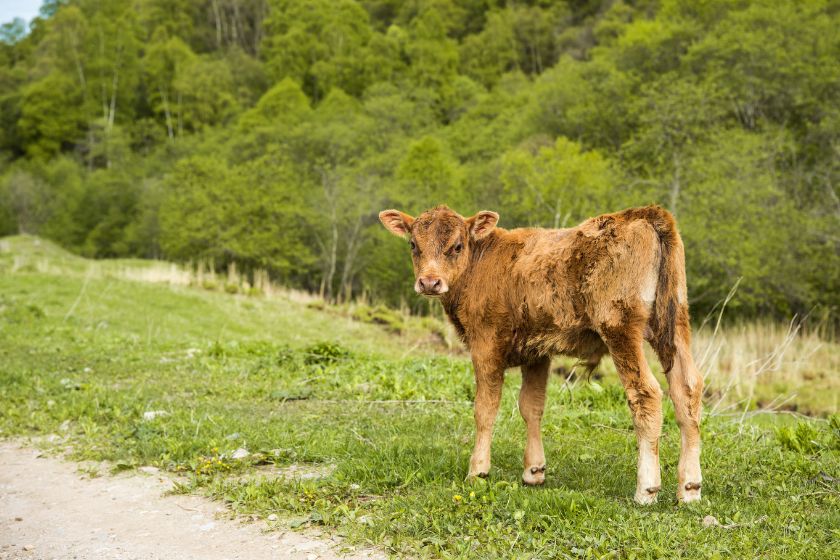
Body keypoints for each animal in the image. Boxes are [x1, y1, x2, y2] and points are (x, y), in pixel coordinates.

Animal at [380, 205, 704, 504]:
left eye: (457, 245)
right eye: (413, 244)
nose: (429, 282)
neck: (480, 264)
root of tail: (643, 212)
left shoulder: (486, 343)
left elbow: (485, 408)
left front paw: (477, 471)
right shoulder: (537, 350)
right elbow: (531, 406)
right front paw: (534, 471)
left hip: (619, 326)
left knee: (645, 392)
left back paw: (646, 488)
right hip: (675, 323)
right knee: (687, 388)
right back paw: (689, 487)